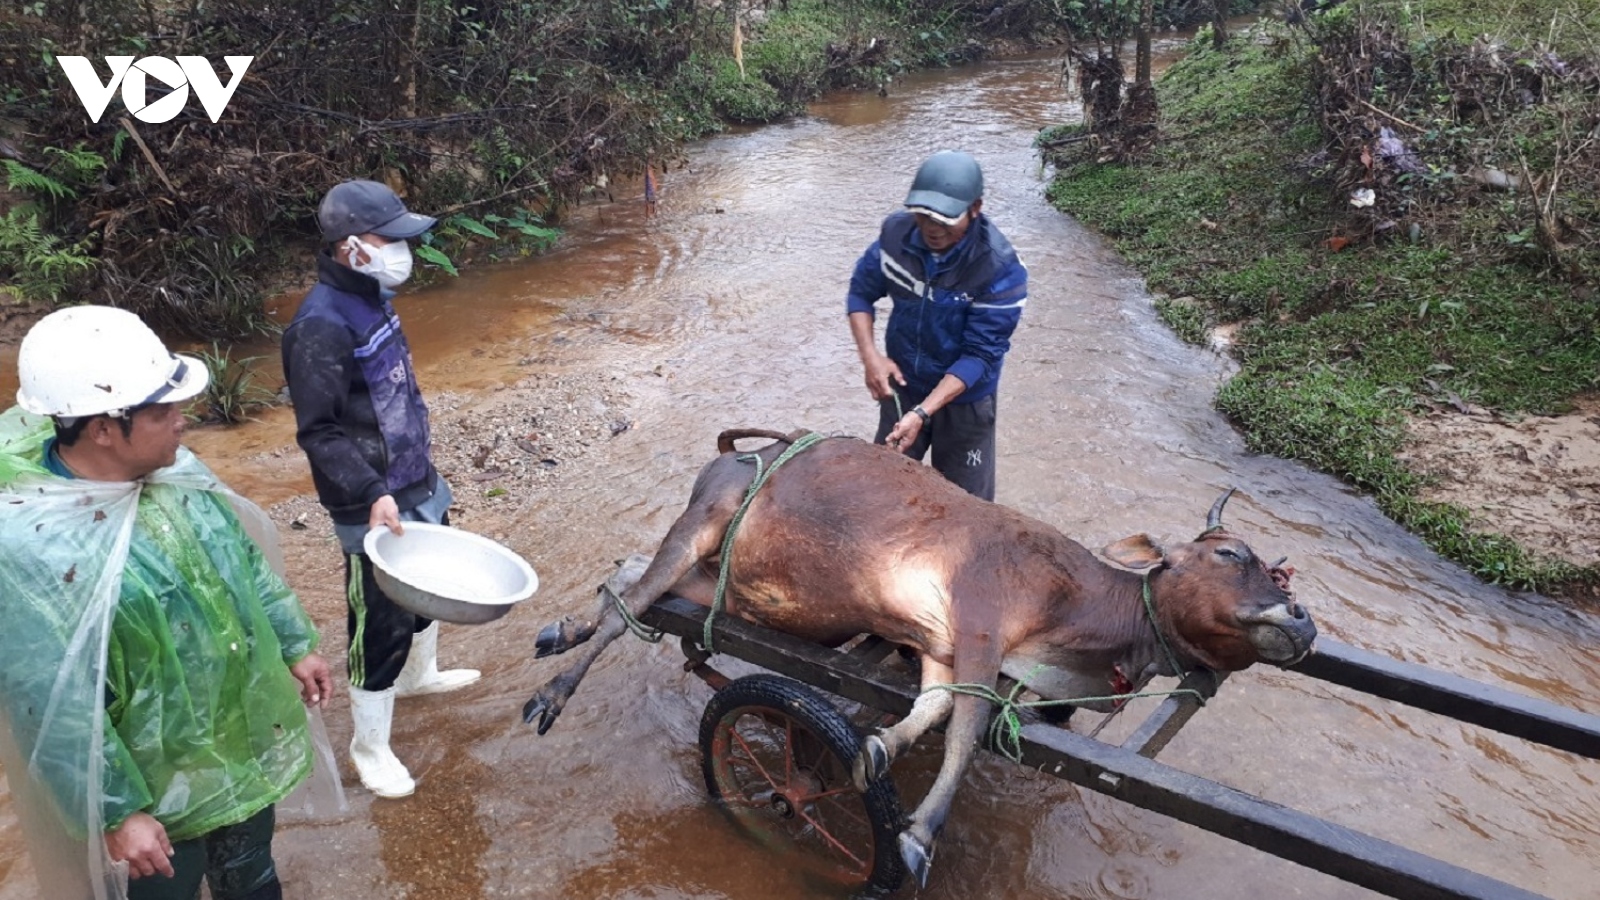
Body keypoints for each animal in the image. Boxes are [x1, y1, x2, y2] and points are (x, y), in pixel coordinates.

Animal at [524, 425, 1312, 883]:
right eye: (1229, 554)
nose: (1300, 618)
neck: (1076, 614)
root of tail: (745, 448)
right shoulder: (981, 625)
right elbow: (965, 733)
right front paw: (916, 837)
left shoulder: (942, 647)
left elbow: (931, 710)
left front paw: (878, 747)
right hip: (706, 519)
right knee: (633, 605)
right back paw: (553, 690)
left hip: (728, 581)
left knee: (631, 581)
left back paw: (562, 629)